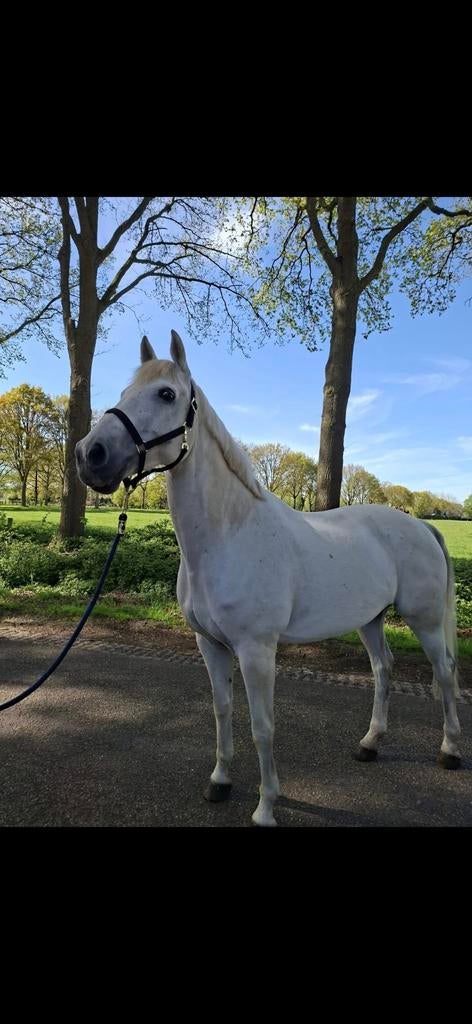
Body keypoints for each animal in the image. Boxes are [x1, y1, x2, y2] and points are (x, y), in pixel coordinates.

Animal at [76, 330, 462, 826]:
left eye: (166, 394)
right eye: (125, 393)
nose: (90, 455)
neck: (228, 535)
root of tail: (422, 526)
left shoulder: (257, 650)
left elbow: (263, 726)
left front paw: (265, 807)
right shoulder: (211, 645)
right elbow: (222, 711)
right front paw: (220, 781)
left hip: (425, 621)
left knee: (445, 674)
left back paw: (449, 751)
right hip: (371, 620)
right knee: (383, 669)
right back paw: (370, 744)